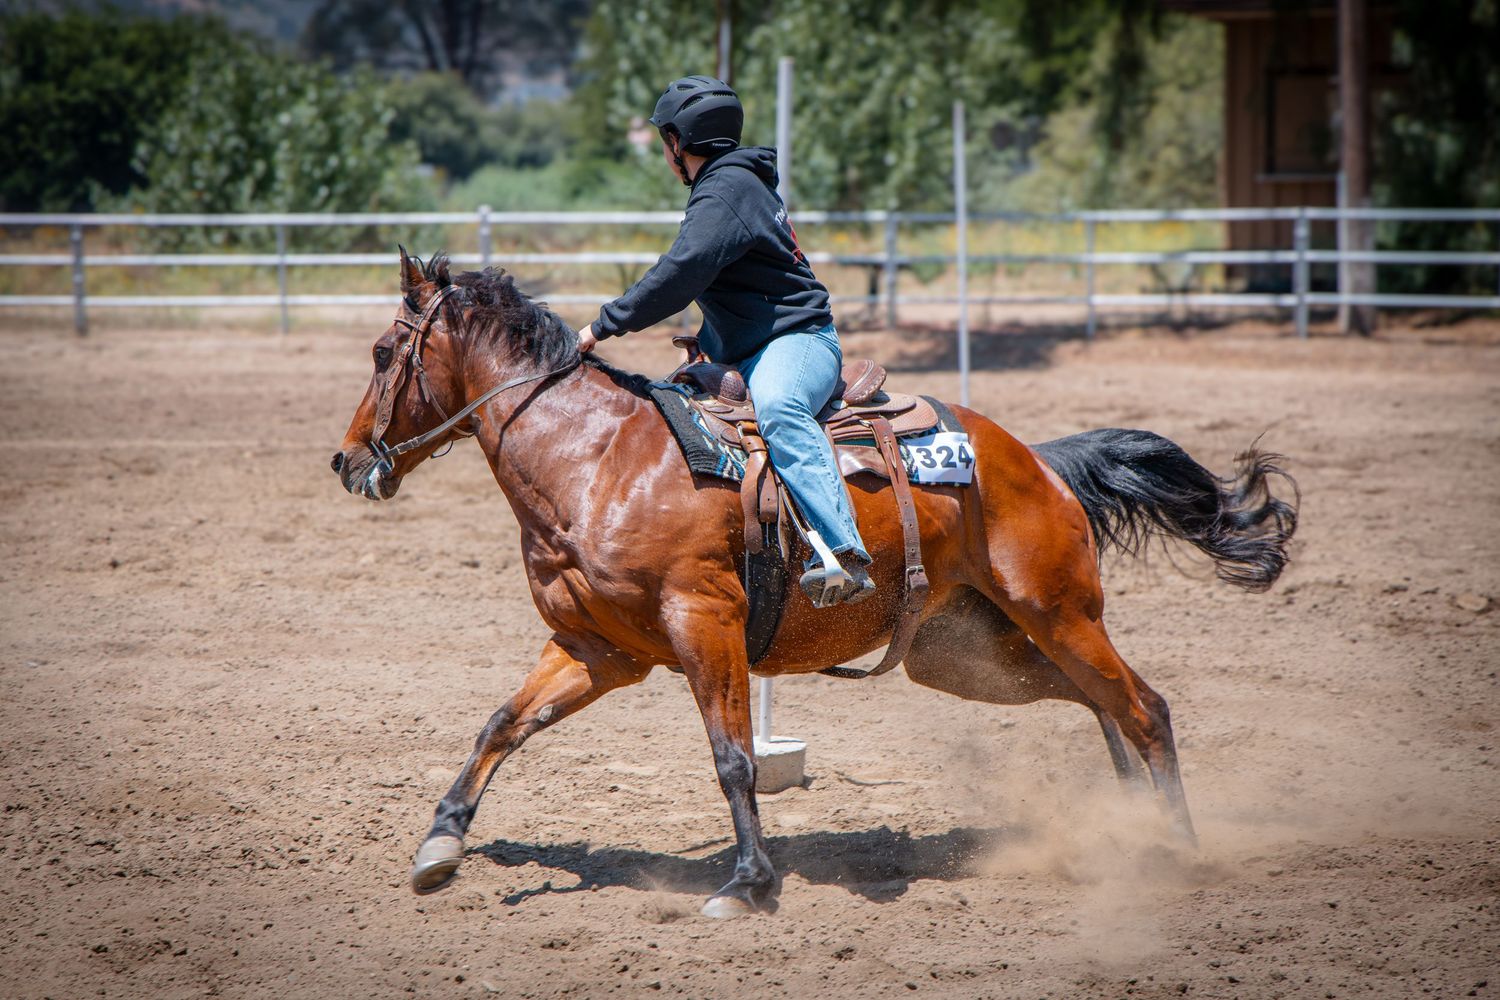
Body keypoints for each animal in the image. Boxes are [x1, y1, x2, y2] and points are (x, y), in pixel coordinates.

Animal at [330, 250, 1298, 918]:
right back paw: (1129, 824)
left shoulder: (704, 624)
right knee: (1099, 702)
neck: (598, 460)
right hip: (967, 655)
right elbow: (503, 722)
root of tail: (1043, 462)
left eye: (381, 351)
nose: (344, 461)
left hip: (1059, 611)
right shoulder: (597, 649)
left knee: (1145, 707)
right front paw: (440, 844)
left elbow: (733, 759)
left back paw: (1176, 848)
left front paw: (749, 883)